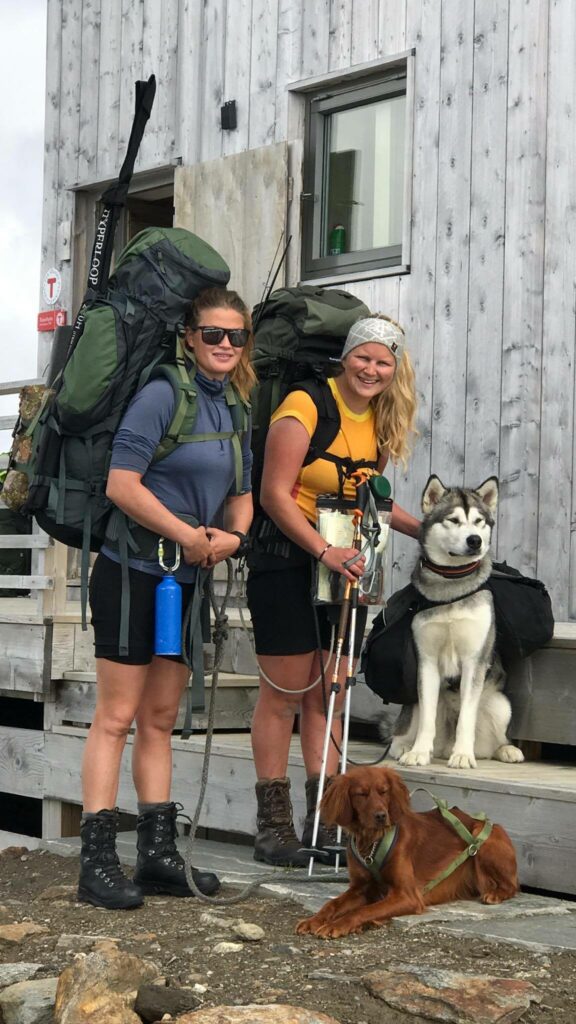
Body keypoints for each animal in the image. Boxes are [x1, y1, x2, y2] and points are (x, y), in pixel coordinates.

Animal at [295, 770, 516, 937]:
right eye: (361, 794)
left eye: (384, 792)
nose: (381, 816)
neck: (372, 842)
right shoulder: (360, 888)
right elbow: (332, 903)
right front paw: (314, 920)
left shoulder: (407, 896)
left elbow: (363, 910)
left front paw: (339, 924)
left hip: (480, 837)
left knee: (511, 886)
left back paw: (495, 894)